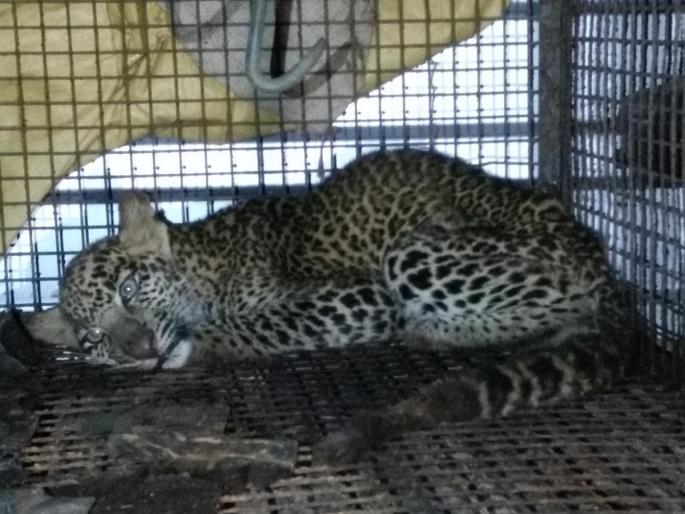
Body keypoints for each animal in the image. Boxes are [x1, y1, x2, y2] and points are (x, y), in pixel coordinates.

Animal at [26, 149, 631, 462]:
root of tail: (601, 264)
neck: (206, 264)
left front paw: (204, 346)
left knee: (554, 307)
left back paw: (428, 330)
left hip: (414, 252)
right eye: (94, 339)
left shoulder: (362, 296)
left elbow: (266, 324)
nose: (142, 351)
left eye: (128, 290)